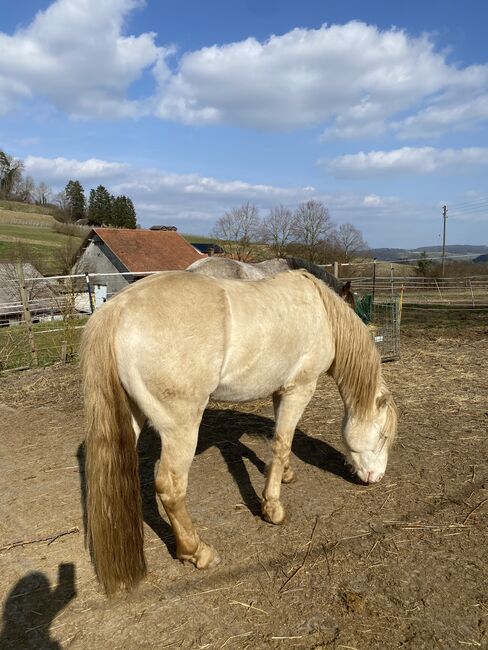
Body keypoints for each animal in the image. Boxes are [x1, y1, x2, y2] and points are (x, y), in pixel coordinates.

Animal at [83, 268, 396, 592]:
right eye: (383, 436)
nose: (375, 477)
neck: (321, 311)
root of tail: (118, 309)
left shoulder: (280, 390)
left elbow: (280, 438)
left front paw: (285, 474)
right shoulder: (300, 389)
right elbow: (282, 442)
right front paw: (272, 509)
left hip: (132, 417)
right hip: (181, 428)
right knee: (170, 488)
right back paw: (197, 552)